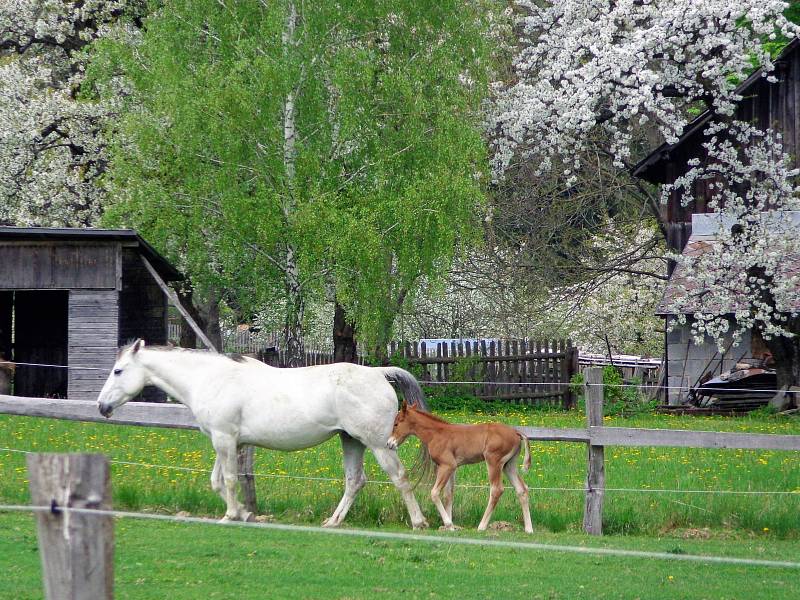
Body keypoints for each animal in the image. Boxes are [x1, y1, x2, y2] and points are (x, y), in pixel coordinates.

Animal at [97, 340, 428, 528]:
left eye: (118, 371)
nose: (102, 406)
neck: (210, 378)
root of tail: (378, 373)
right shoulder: (227, 441)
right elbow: (217, 481)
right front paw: (245, 513)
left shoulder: (224, 439)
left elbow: (230, 480)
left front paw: (231, 515)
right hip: (352, 441)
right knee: (354, 481)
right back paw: (333, 522)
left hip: (379, 445)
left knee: (400, 478)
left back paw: (419, 522)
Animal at [386, 400, 532, 532]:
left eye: (396, 423)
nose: (389, 443)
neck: (436, 434)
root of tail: (516, 432)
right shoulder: (452, 468)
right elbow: (448, 495)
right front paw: (449, 526)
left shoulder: (447, 465)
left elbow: (434, 493)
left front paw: (449, 524)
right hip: (509, 465)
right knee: (522, 489)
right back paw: (529, 529)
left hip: (493, 461)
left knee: (497, 489)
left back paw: (482, 526)